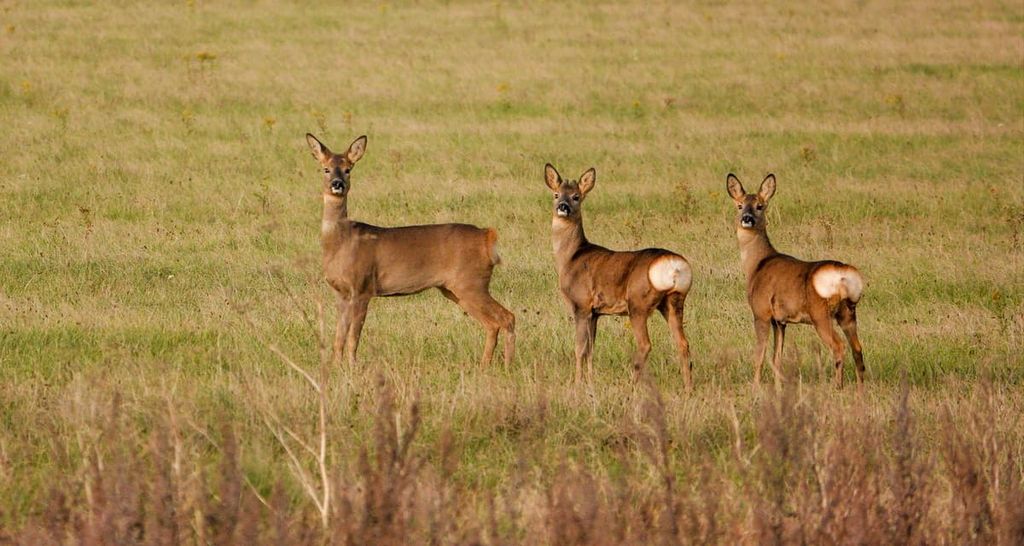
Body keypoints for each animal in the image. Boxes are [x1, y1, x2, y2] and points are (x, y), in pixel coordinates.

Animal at [305, 133, 515, 367]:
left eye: (348, 168)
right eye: (325, 169)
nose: (337, 184)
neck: (341, 241)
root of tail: (487, 237)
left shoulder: (362, 287)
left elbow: (353, 337)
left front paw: (352, 367)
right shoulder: (341, 293)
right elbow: (338, 337)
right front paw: (336, 366)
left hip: (471, 283)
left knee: (505, 318)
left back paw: (503, 365)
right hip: (456, 288)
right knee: (496, 322)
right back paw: (488, 365)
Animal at [544, 163, 694, 388]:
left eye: (576, 196)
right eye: (556, 194)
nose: (563, 206)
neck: (570, 257)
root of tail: (674, 265)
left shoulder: (581, 304)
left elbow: (579, 348)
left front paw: (577, 383)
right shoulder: (595, 312)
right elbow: (591, 349)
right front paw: (591, 382)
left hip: (638, 302)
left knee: (645, 344)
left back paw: (633, 385)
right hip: (673, 301)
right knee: (683, 344)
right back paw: (688, 388)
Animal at [726, 173, 865, 389]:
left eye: (760, 206)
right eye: (739, 205)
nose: (747, 219)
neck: (757, 265)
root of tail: (844, 275)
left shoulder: (761, 312)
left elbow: (760, 354)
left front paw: (756, 386)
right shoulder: (780, 321)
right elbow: (777, 357)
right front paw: (778, 386)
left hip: (821, 314)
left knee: (839, 346)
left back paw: (838, 386)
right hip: (848, 312)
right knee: (857, 348)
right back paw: (860, 389)